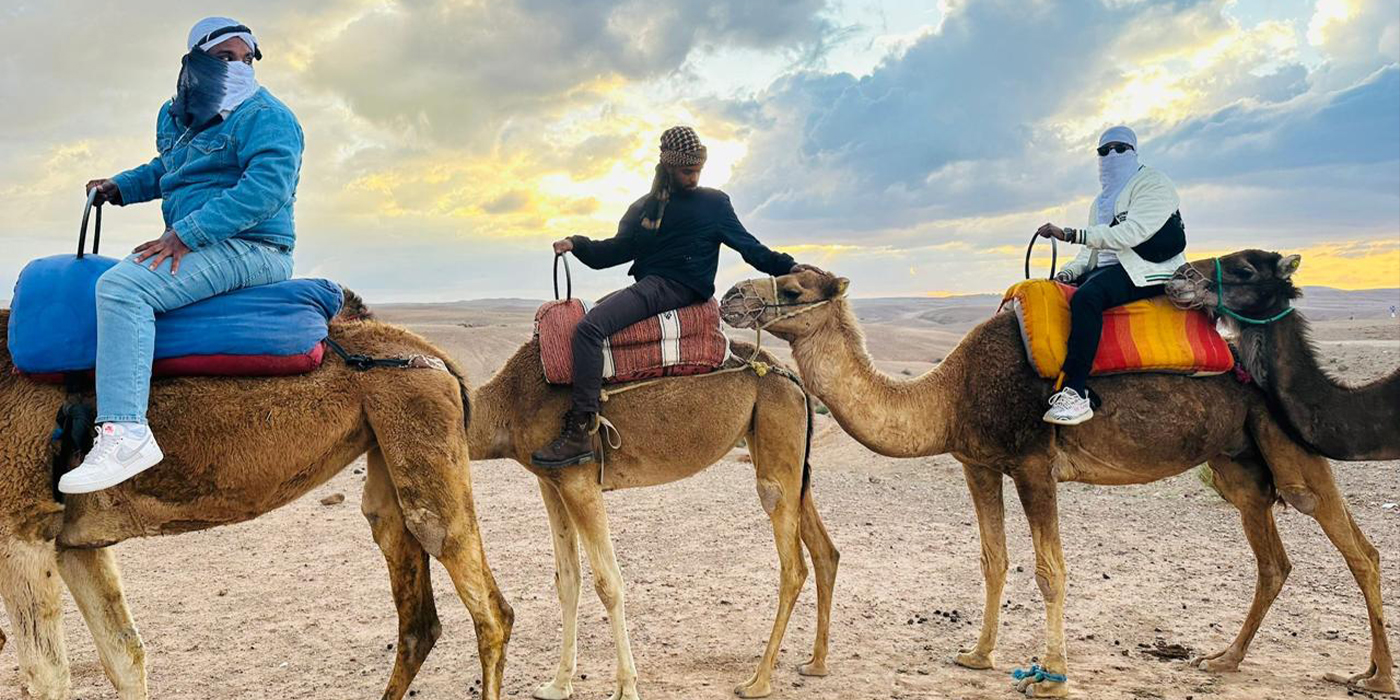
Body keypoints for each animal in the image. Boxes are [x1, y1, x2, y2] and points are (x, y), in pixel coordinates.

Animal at [0, 300, 513, 700]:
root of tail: (439, 358)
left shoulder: (20, 529)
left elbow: (47, 677)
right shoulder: (71, 544)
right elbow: (125, 657)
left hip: (420, 428)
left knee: (486, 604)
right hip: (387, 446)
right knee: (416, 612)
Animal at [465, 334, 838, 700]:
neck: (510, 404)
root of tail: (792, 378)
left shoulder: (579, 480)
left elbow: (608, 583)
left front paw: (627, 688)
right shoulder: (550, 482)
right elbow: (567, 581)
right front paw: (557, 685)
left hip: (776, 439)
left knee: (792, 561)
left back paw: (758, 681)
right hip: (772, 441)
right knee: (825, 550)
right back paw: (816, 663)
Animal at [719, 271, 1395, 697]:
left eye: (794, 286)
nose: (730, 295)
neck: (949, 394)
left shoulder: (1033, 464)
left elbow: (1050, 570)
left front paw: (1051, 675)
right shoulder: (978, 462)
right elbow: (993, 558)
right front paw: (977, 656)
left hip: (1288, 444)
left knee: (1359, 549)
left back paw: (1376, 678)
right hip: (1237, 465)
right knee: (1273, 559)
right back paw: (1225, 659)